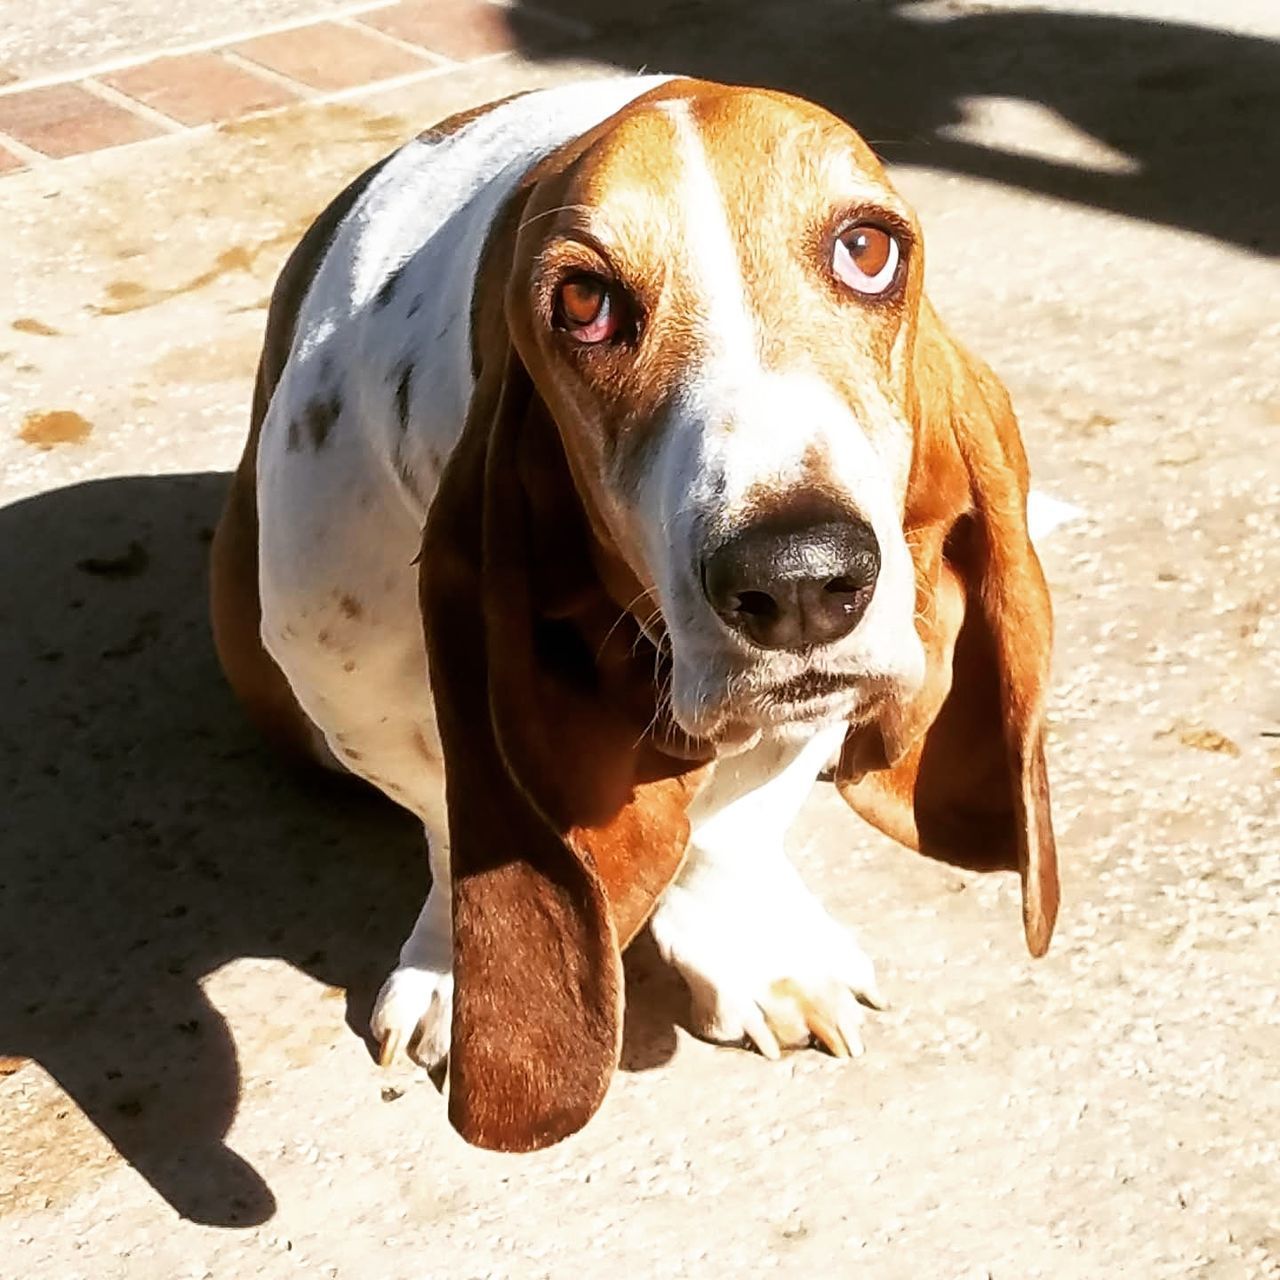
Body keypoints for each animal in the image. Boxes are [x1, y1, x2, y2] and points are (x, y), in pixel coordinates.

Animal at [209, 74, 1059, 1157]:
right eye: (583, 303)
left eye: (867, 249)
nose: (799, 578)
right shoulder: (354, 689)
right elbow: (444, 810)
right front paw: (454, 972)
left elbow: (735, 821)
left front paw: (756, 951)